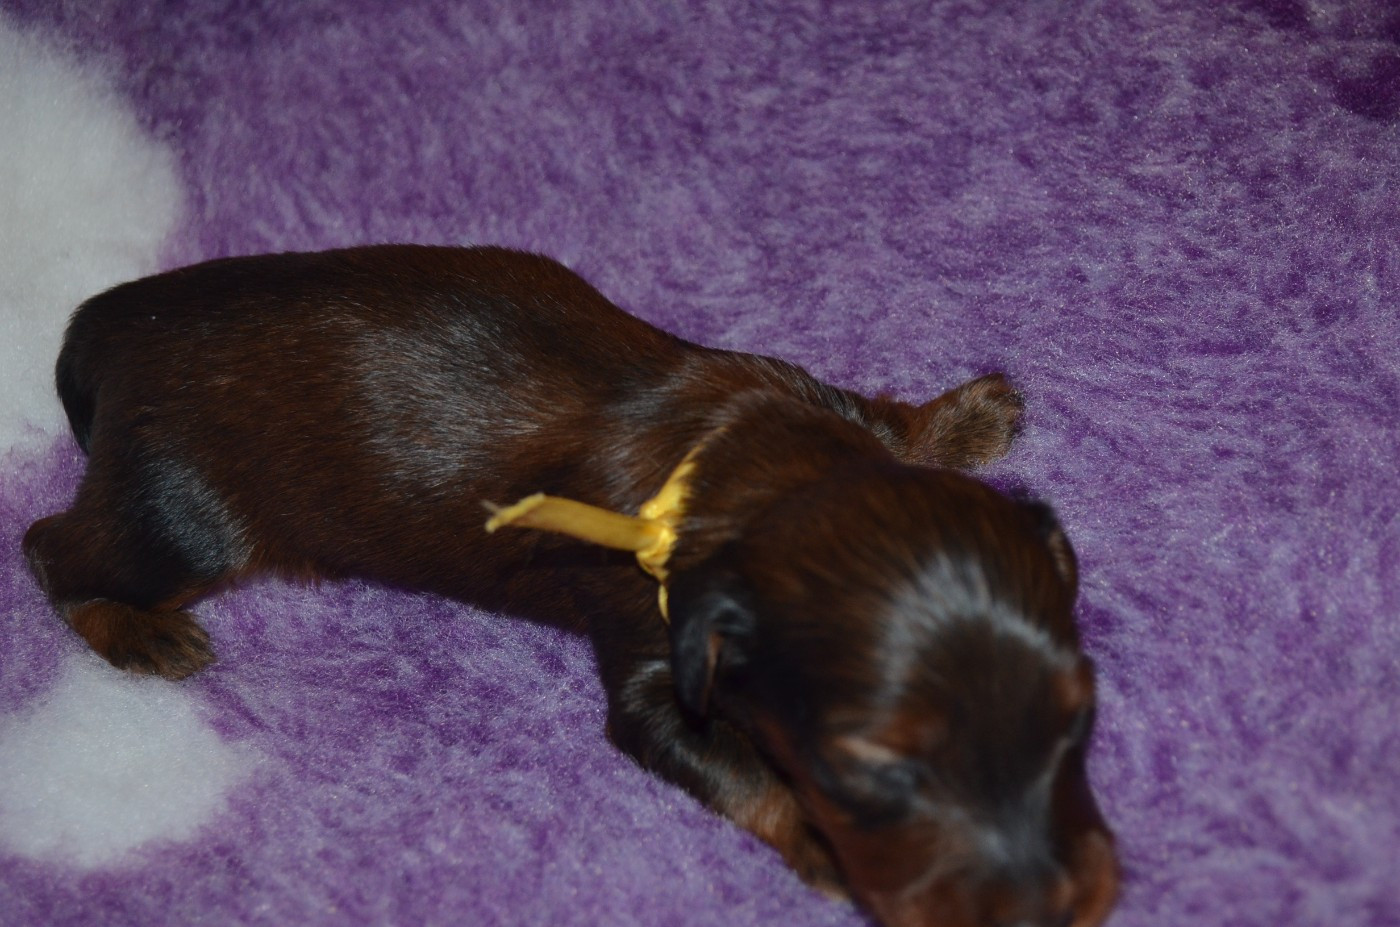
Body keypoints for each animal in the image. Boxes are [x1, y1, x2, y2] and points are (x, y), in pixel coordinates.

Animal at [24, 245, 1118, 927]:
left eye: (1077, 720)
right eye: (875, 770)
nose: (1062, 906)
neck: (755, 468)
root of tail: (108, 322)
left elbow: (891, 423)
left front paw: (965, 416)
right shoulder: (652, 667)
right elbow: (744, 772)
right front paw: (821, 846)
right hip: (184, 518)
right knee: (51, 547)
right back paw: (137, 635)